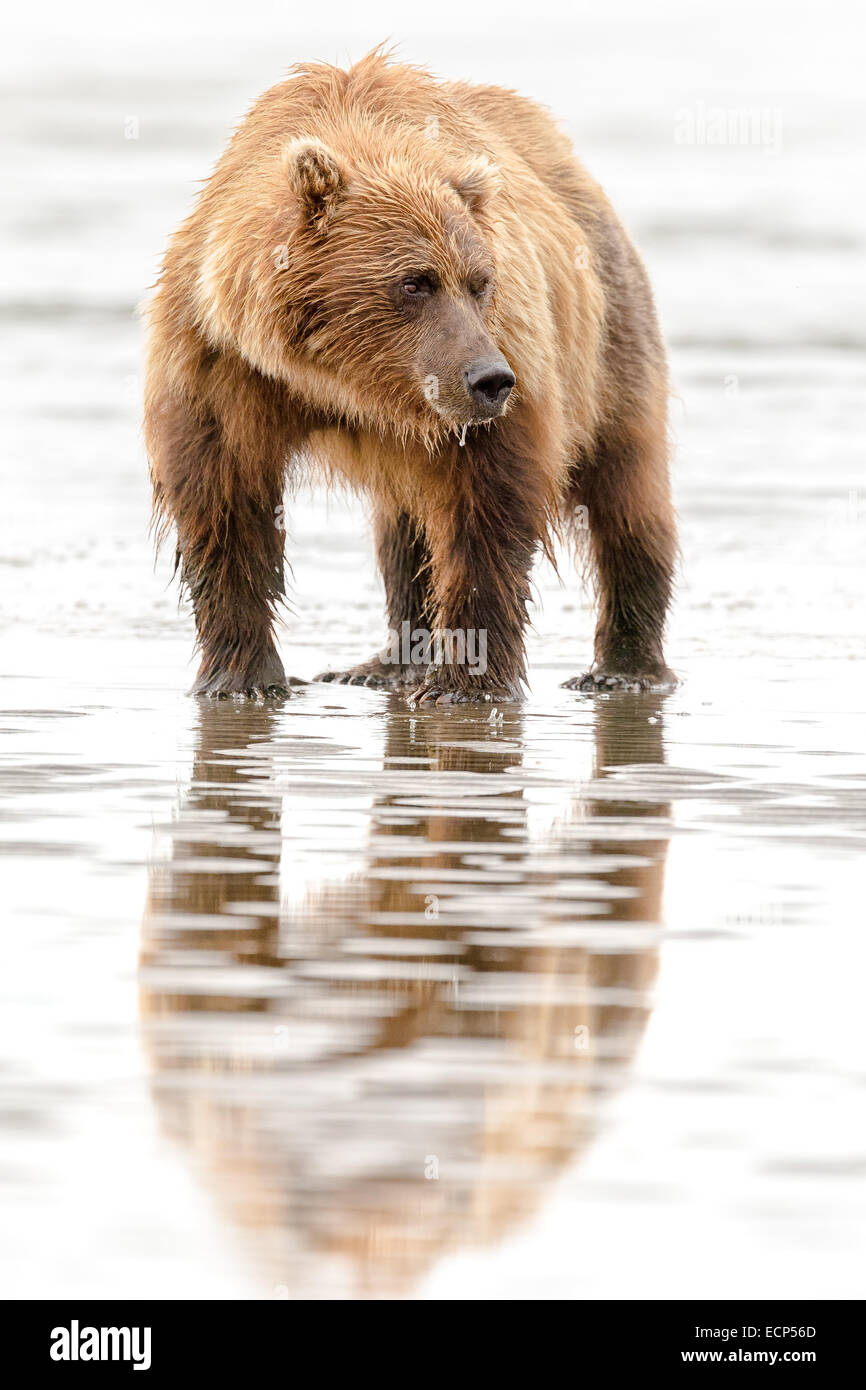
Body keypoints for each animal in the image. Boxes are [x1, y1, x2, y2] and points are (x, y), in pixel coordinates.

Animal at [145, 47, 678, 700]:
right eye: (415, 281)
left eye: (480, 282)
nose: (491, 379)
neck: (346, 380)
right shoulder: (222, 358)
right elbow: (223, 495)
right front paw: (240, 677)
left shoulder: (507, 359)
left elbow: (487, 510)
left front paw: (463, 682)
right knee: (404, 529)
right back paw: (384, 664)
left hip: (609, 337)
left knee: (625, 489)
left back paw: (623, 669)